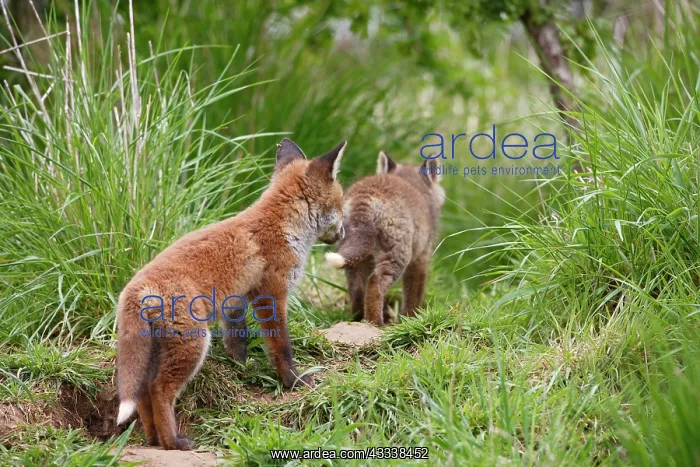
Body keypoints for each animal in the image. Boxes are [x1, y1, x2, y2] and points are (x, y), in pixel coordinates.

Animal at [115, 138, 347, 450]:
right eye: (342, 204)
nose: (343, 234)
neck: (284, 226)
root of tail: (134, 287)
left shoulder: (235, 301)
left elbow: (238, 339)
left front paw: (242, 366)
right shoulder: (271, 296)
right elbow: (281, 348)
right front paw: (294, 381)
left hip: (156, 349)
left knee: (143, 394)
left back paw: (153, 439)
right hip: (194, 344)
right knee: (159, 390)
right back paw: (174, 442)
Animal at [325, 151, 444, 326]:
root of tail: (366, 196)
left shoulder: (370, 261)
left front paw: (389, 314)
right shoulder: (420, 259)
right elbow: (414, 295)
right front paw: (411, 320)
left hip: (355, 254)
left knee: (357, 290)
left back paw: (358, 319)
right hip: (397, 256)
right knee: (375, 283)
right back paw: (376, 323)